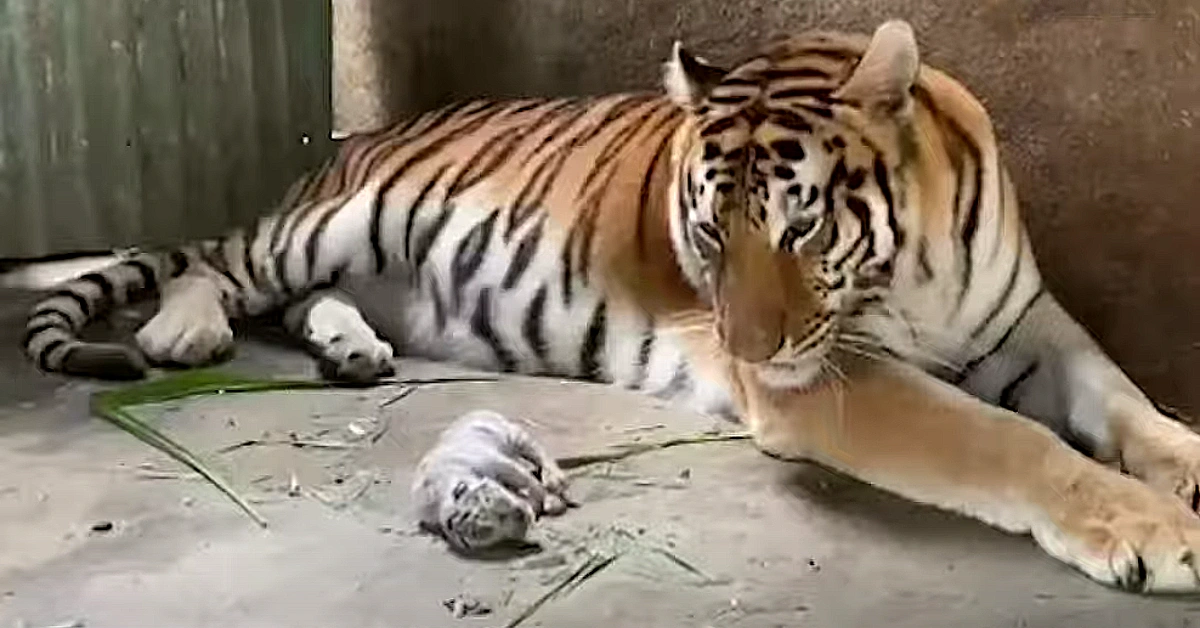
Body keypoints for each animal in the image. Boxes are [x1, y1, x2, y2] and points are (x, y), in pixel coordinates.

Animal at [14, 18, 1200, 590]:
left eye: (803, 226)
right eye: (711, 234)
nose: (743, 346)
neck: (914, 274)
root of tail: (351, 140)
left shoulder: (1028, 325)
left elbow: (1130, 410)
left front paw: (1179, 471)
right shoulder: (834, 380)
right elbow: (1005, 444)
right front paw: (1154, 534)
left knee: (310, 302)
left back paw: (353, 350)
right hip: (329, 224)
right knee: (222, 265)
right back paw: (183, 327)